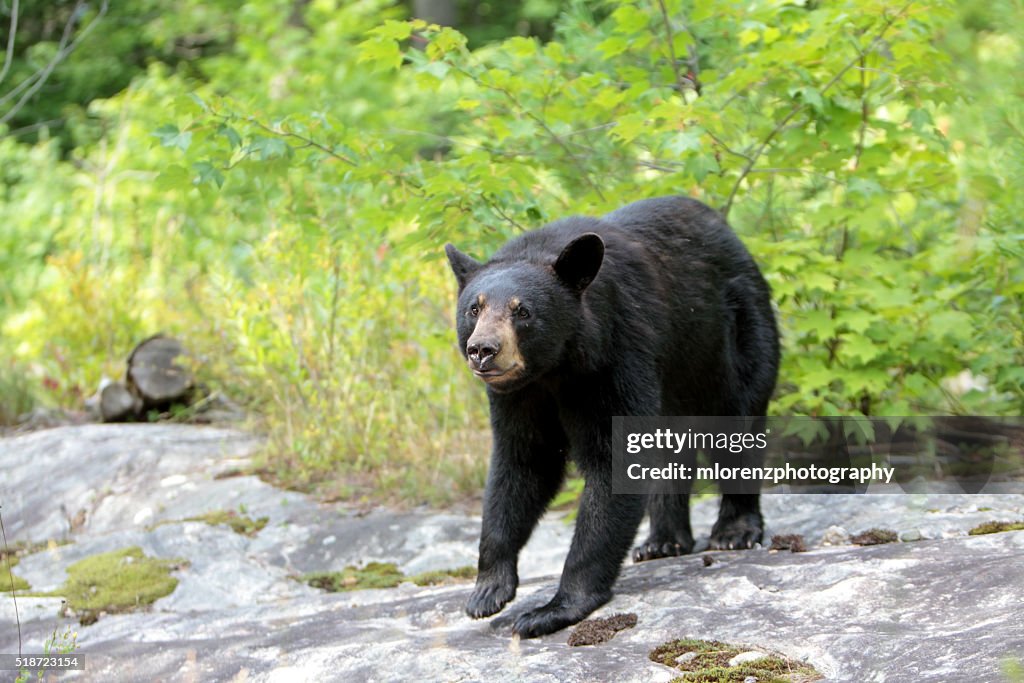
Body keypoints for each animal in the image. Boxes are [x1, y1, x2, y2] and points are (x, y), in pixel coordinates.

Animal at [444, 194, 778, 638]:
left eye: (523, 311)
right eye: (473, 309)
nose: (482, 350)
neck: (558, 368)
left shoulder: (617, 355)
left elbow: (614, 459)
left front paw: (553, 608)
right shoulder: (520, 395)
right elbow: (522, 463)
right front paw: (488, 589)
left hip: (732, 334)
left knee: (736, 421)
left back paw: (734, 531)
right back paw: (663, 541)